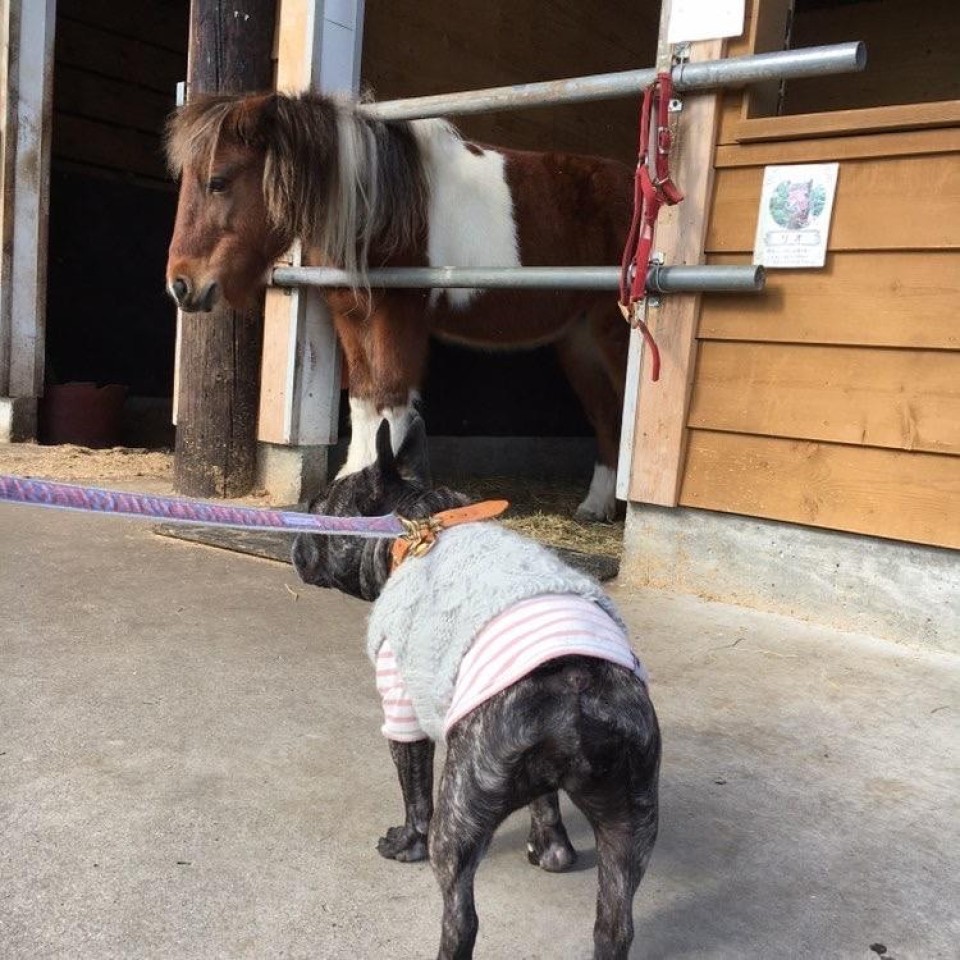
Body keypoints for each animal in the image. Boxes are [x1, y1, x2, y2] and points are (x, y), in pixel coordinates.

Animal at [165, 90, 633, 521]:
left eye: (219, 181)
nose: (181, 286)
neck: (376, 204)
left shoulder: (398, 314)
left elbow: (390, 397)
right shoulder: (351, 314)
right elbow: (364, 397)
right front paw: (347, 489)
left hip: (616, 334)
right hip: (579, 342)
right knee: (607, 418)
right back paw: (595, 506)